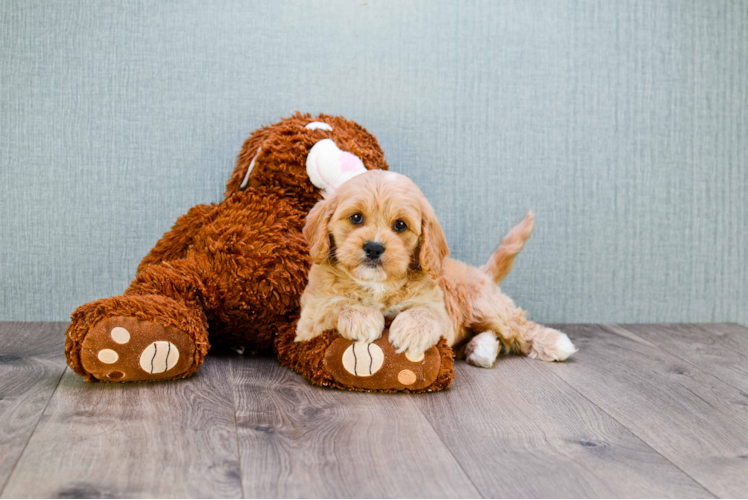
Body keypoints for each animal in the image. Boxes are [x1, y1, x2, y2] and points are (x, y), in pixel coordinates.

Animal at [296, 170, 576, 366]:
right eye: (356, 218)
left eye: (400, 225)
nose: (374, 247)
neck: (378, 284)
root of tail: (483, 272)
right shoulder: (307, 319)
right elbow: (335, 304)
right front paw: (362, 317)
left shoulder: (439, 308)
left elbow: (425, 312)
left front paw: (412, 332)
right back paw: (481, 349)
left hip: (483, 303)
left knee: (516, 324)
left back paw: (554, 342)